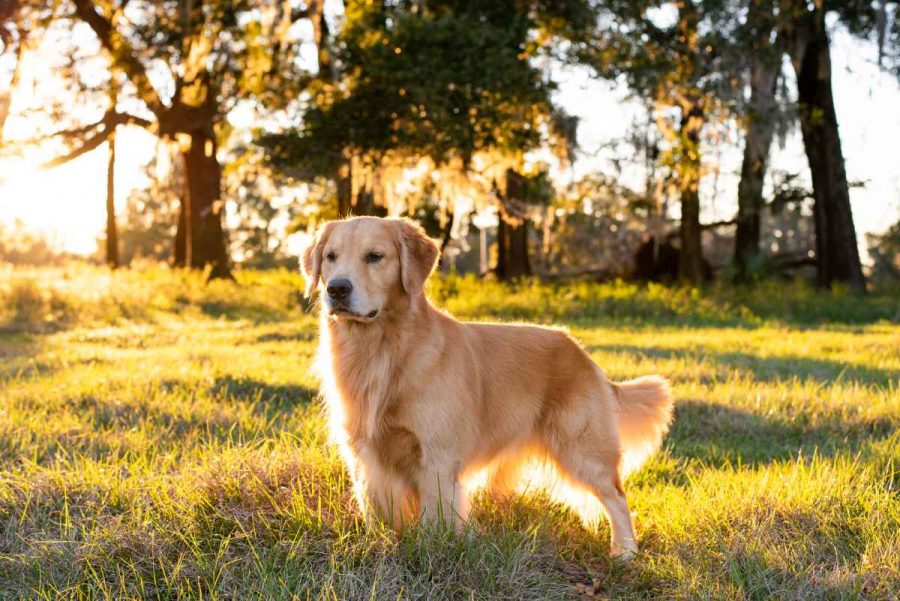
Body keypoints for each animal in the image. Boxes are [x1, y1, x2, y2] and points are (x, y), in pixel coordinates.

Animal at [298, 216, 672, 556]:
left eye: (375, 256)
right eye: (331, 256)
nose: (337, 289)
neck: (383, 350)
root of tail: (580, 351)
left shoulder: (437, 456)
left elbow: (434, 519)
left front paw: (429, 555)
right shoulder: (364, 453)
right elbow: (376, 508)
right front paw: (382, 547)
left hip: (582, 448)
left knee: (617, 497)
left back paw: (625, 552)